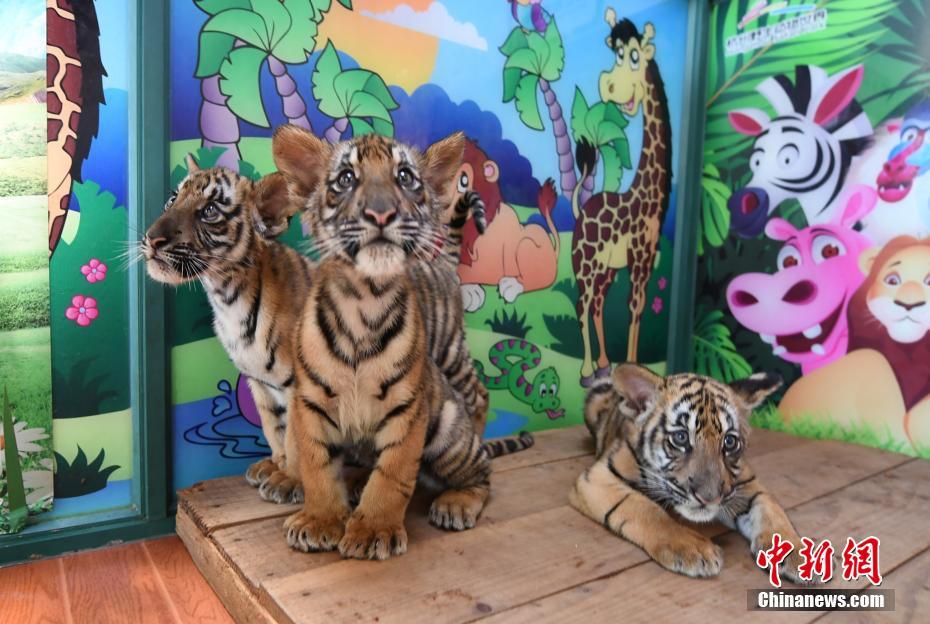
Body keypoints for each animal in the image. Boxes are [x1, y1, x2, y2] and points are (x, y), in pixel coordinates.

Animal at [272, 127, 497, 560]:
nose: (381, 214)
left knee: (483, 471)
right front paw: (320, 520)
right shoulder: (311, 403)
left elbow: (393, 475)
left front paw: (373, 530)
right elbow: (316, 466)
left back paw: (456, 503)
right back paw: (355, 483)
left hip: (449, 430)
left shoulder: (408, 409)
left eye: (405, 177)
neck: (365, 299)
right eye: (345, 179)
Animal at [570, 364, 808, 582]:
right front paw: (694, 549)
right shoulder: (598, 477)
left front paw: (798, 553)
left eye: (729, 442)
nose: (709, 498)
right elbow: (646, 509)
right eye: (681, 437)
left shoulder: (745, 483)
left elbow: (771, 509)